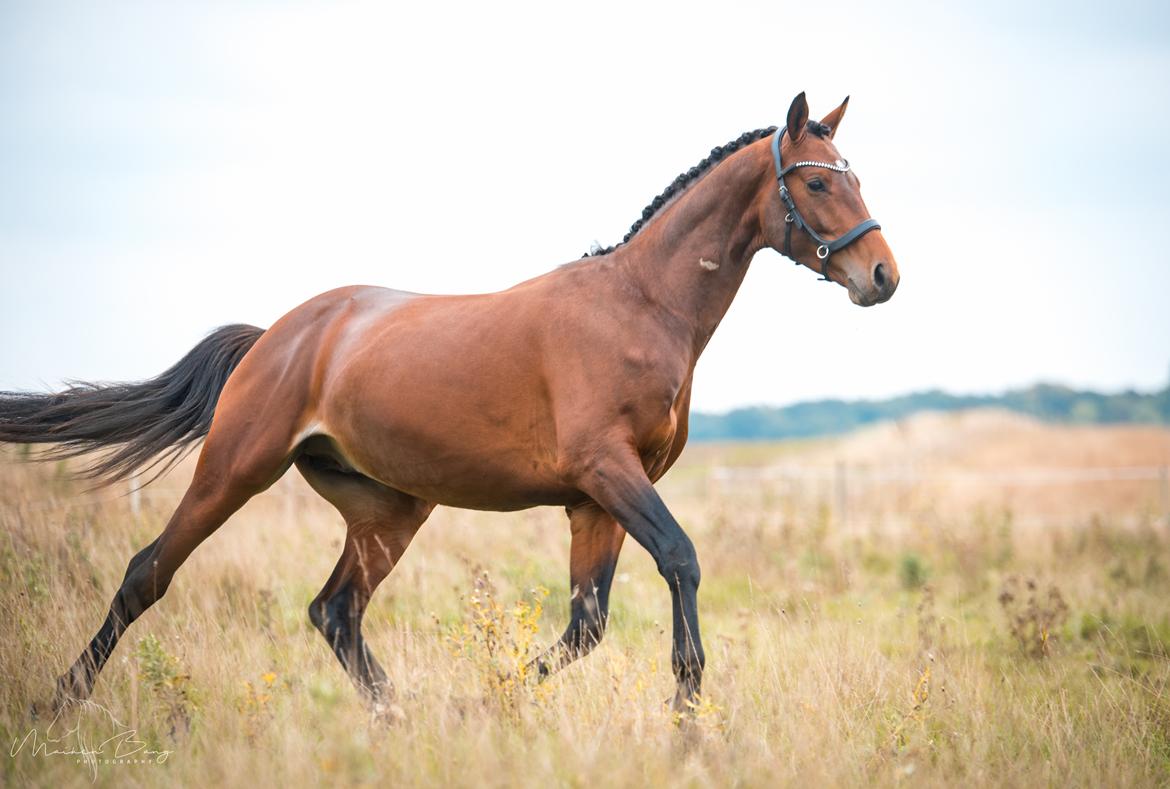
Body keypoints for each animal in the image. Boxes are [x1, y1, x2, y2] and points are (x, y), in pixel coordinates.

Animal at [0, 93, 893, 711]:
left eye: (856, 177)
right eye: (818, 181)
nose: (883, 275)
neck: (637, 306)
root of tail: (277, 336)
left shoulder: (595, 501)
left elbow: (586, 623)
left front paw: (485, 704)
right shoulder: (608, 473)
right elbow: (680, 560)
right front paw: (686, 709)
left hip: (389, 508)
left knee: (335, 612)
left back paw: (400, 715)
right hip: (233, 471)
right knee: (146, 574)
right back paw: (58, 705)